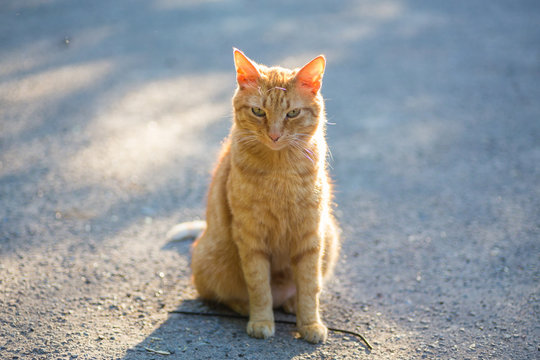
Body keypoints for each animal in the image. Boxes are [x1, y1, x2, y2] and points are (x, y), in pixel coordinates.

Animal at [169, 48, 340, 344]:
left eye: (293, 113)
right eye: (258, 111)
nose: (274, 135)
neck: (280, 170)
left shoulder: (310, 236)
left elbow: (310, 287)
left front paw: (310, 324)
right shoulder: (251, 237)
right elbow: (259, 286)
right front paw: (261, 321)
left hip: (329, 236)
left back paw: (290, 304)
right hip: (212, 259)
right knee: (222, 296)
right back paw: (246, 306)